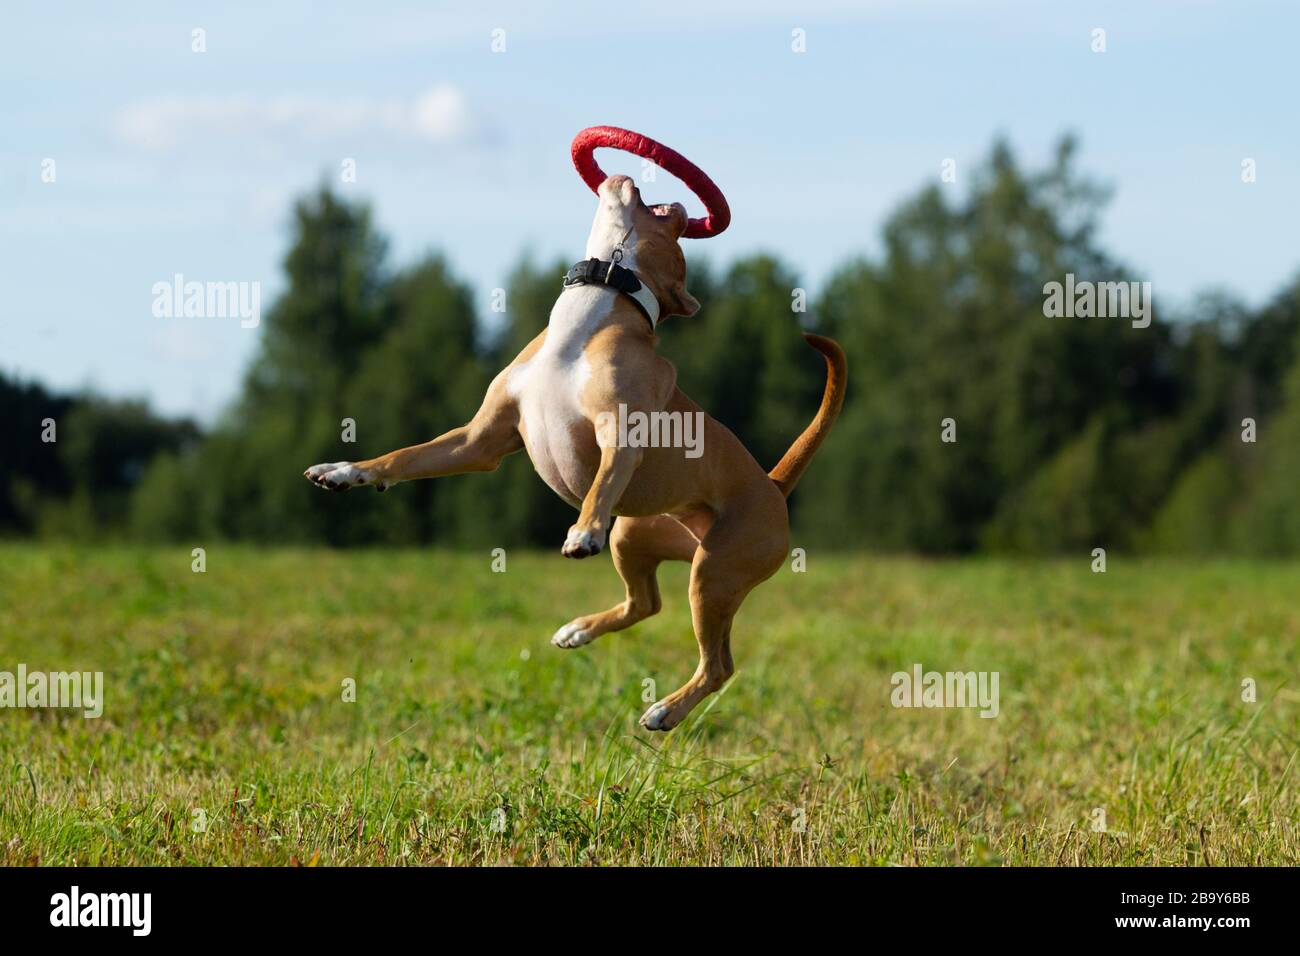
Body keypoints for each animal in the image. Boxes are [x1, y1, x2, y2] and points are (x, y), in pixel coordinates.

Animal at [308, 175, 847, 728]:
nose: (678, 206)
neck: (593, 305)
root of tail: (773, 484)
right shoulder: (478, 440)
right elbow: (404, 458)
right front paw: (344, 470)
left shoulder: (620, 434)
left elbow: (602, 484)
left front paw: (582, 531)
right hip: (637, 537)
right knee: (645, 603)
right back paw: (579, 630)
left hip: (715, 572)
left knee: (718, 664)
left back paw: (665, 710)